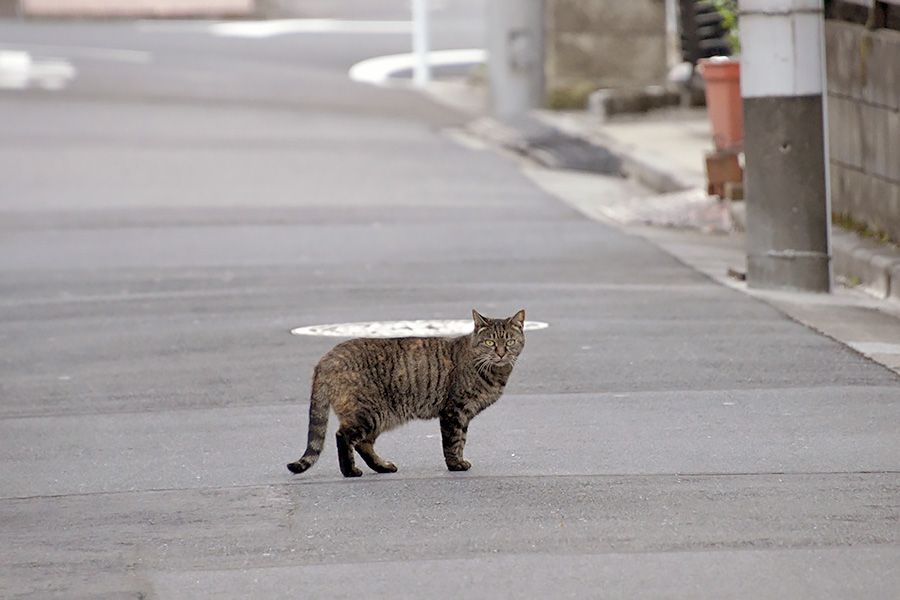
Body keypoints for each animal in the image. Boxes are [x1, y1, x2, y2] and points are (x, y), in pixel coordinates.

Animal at [288, 312, 524, 476]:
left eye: (510, 342)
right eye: (490, 342)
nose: (501, 353)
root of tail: (326, 358)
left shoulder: (464, 414)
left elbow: (462, 440)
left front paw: (459, 460)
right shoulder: (454, 411)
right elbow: (453, 441)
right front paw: (455, 464)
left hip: (380, 416)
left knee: (364, 444)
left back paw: (382, 466)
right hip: (367, 413)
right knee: (343, 436)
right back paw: (350, 471)